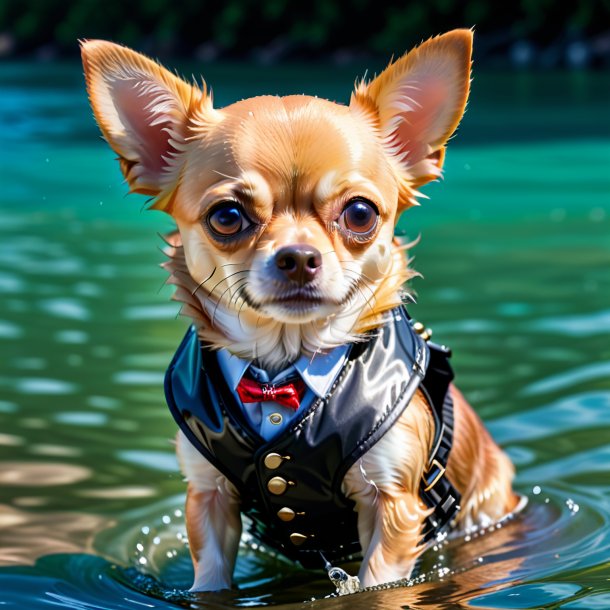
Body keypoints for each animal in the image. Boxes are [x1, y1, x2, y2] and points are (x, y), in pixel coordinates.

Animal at [81, 29, 516, 588]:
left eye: (360, 213)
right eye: (227, 216)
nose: (299, 257)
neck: (280, 366)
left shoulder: (393, 505)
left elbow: (378, 586)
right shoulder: (207, 497)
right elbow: (210, 581)